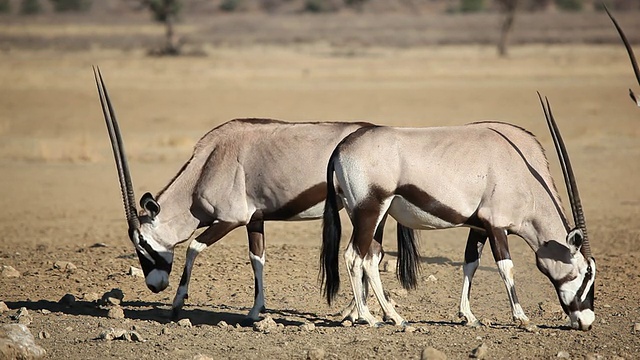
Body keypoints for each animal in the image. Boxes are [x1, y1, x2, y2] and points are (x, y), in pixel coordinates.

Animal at [92, 67, 378, 320]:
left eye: (143, 242)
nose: (154, 285)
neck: (207, 165)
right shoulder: (255, 220)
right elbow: (257, 258)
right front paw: (255, 311)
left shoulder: (231, 219)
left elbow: (193, 248)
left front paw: (177, 304)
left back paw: (355, 311)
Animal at [322, 94, 596, 330]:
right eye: (586, 273)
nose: (586, 322)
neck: (523, 173)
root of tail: (342, 147)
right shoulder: (497, 226)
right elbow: (506, 268)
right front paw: (522, 318)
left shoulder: (479, 227)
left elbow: (470, 264)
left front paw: (469, 316)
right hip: (369, 211)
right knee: (353, 257)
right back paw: (369, 317)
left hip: (375, 216)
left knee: (370, 259)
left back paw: (394, 317)